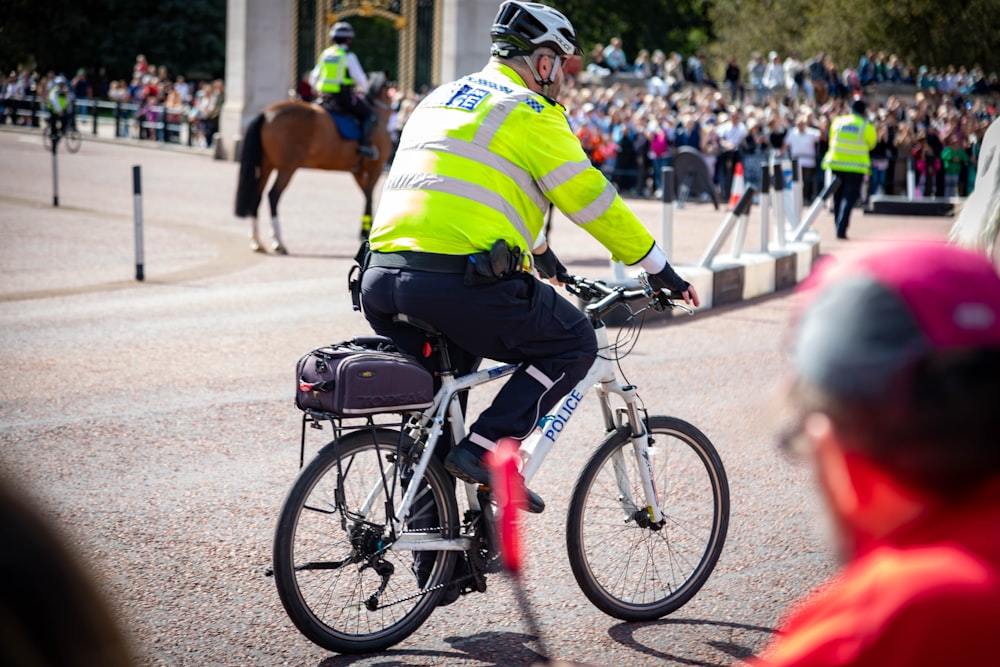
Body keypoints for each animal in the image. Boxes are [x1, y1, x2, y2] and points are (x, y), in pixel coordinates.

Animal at [233, 71, 390, 253]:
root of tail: (266, 113)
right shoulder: (375, 168)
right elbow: (369, 197)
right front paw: (367, 232)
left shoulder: (357, 172)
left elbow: (366, 196)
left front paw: (365, 231)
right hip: (287, 167)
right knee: (273, 196)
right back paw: (278, 241)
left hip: (266, 165)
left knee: (257, 196)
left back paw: (257, 241)